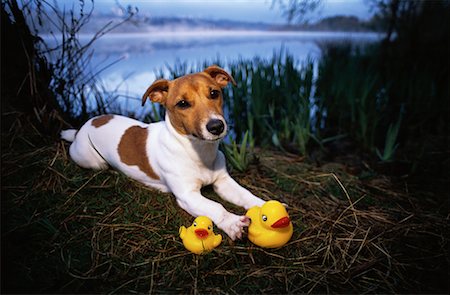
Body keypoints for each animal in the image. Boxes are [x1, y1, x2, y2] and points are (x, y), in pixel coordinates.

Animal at [59, 65, 264, 240]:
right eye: (182, 103)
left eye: (214, 93)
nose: (216, 126)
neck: (198, 151)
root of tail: (82, 128)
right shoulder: (187, 196)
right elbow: (215, 207)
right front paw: (233, 223)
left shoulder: (223, 182)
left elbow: (245, 194)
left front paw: (263, 206)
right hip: (93, 161)